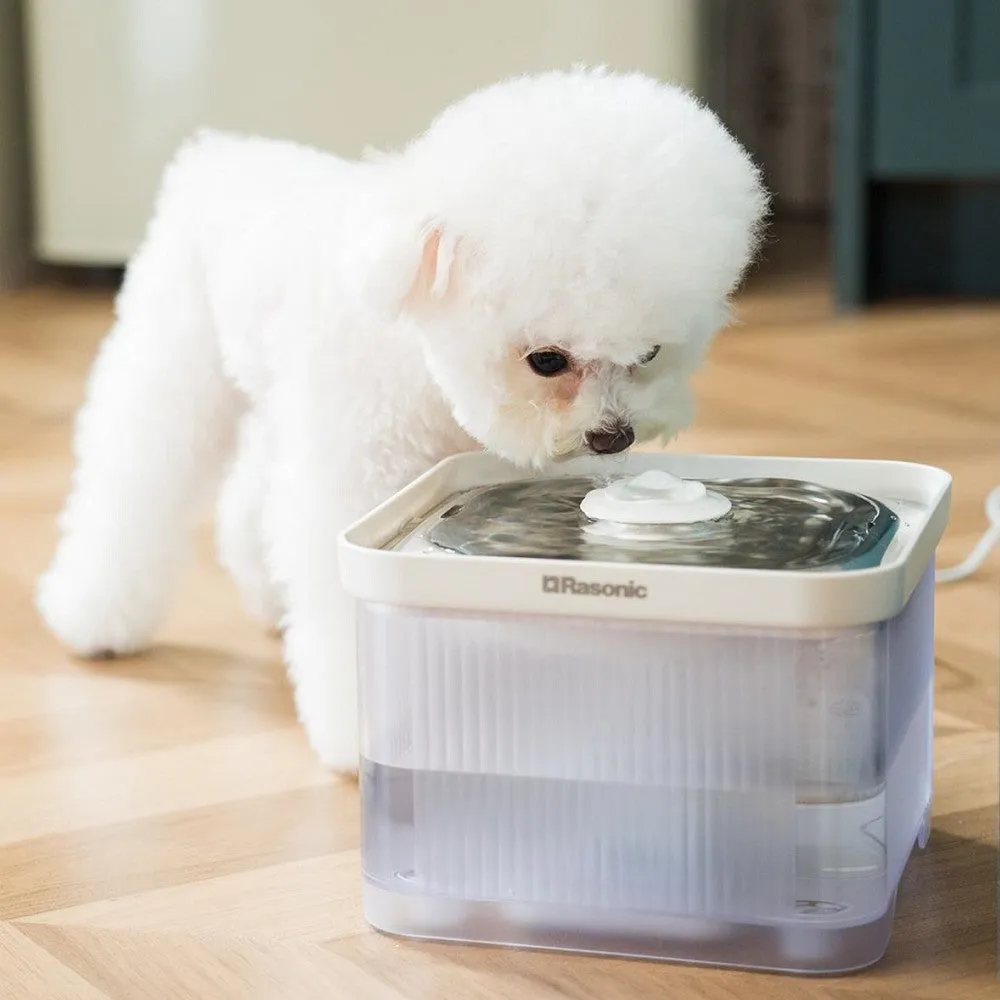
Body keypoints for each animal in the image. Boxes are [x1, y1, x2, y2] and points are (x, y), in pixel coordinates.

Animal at [31, 68, 764, 772]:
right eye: (547, 360)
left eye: (650, 353)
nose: (614, 436)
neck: (419, 349)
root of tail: (217, 153)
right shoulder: (356, 469)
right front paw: (362, 733)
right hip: (173, 354)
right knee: (134, 480)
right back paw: (95, 615)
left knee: (249, 497)